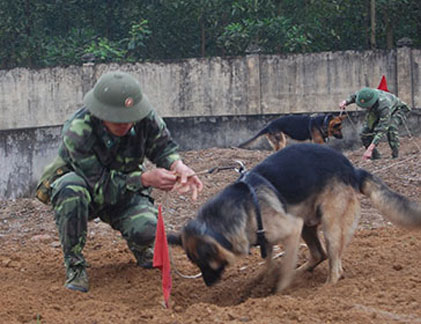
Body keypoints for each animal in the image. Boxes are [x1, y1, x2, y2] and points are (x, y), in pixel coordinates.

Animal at [168, 144, 420, 294]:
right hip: (307, 223)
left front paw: (278, 292)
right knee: (319, 254)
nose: (208, 284)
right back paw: (301, 273)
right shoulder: (269, 239)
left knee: (334, 264)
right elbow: (269, 265)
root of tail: (352, 169)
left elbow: (282, 273)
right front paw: (262, 281)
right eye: (195, 264)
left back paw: (325, 288)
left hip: (328, 226)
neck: (243, 206)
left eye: (205, 263)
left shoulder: (290, 228)